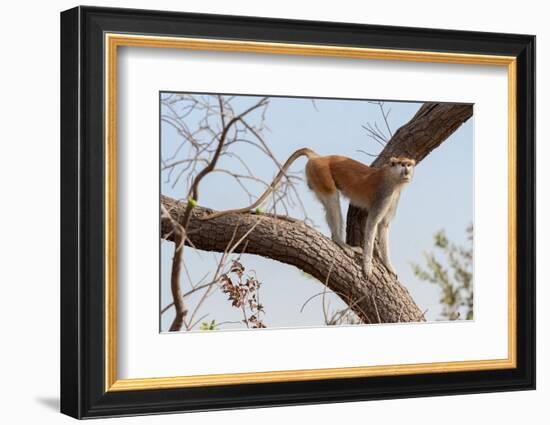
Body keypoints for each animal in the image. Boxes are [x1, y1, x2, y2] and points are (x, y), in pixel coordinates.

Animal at [205, 149, 416, 278]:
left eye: (409, 164)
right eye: (401, 164)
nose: (407, 170)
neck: (393, 178)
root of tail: (318, 157)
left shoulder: (393, 198)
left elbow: (383, 226)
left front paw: (389, 266)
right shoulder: (384, 194)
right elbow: (372, 223)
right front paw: (368, 266)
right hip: (320, 174)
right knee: (332, 199)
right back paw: (340, 243)